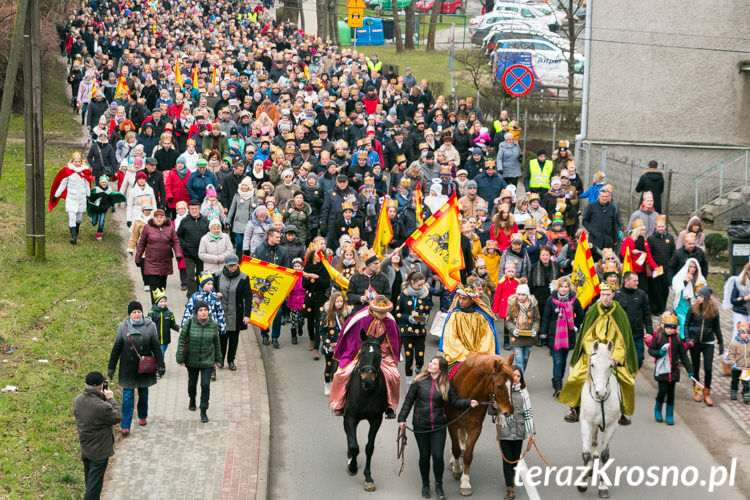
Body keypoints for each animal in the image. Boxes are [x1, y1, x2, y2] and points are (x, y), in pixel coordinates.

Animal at [450, 354, 516, 494]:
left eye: (513, 383)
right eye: (499, 385)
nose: (509, 411)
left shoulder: (475, 427)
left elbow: (468, 455)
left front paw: (465, 482)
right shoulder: (451, 424)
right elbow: (456, 449)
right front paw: (457, 469)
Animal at [580, 338, 620, 498]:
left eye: (610, 365)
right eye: (592, 364)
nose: (600, 393)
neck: (601, 401)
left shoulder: (611, 425)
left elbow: (604, 456)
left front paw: (603, 486)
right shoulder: (586, 422)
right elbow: (585, 454)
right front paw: (582, 483)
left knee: (595, 442)